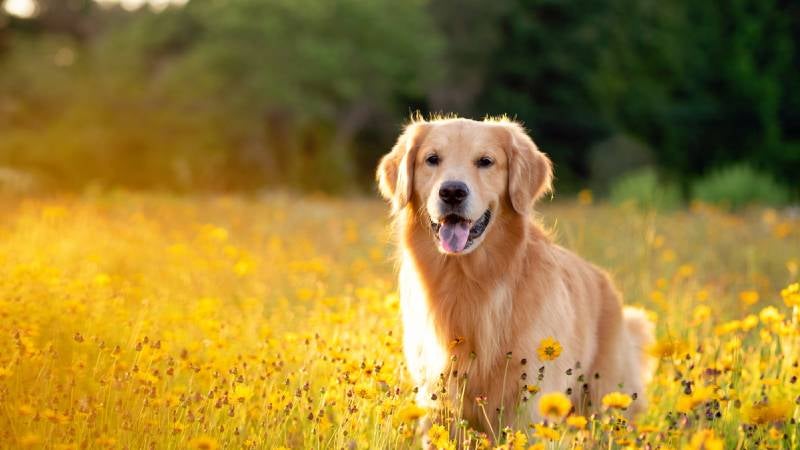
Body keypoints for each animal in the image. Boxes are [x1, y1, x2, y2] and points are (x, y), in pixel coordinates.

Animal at [378, 118, 652, 434]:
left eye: (486, 161)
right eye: (432, 159)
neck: (469, 281)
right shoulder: (437, 401)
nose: (452, 192)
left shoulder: (530, 405)